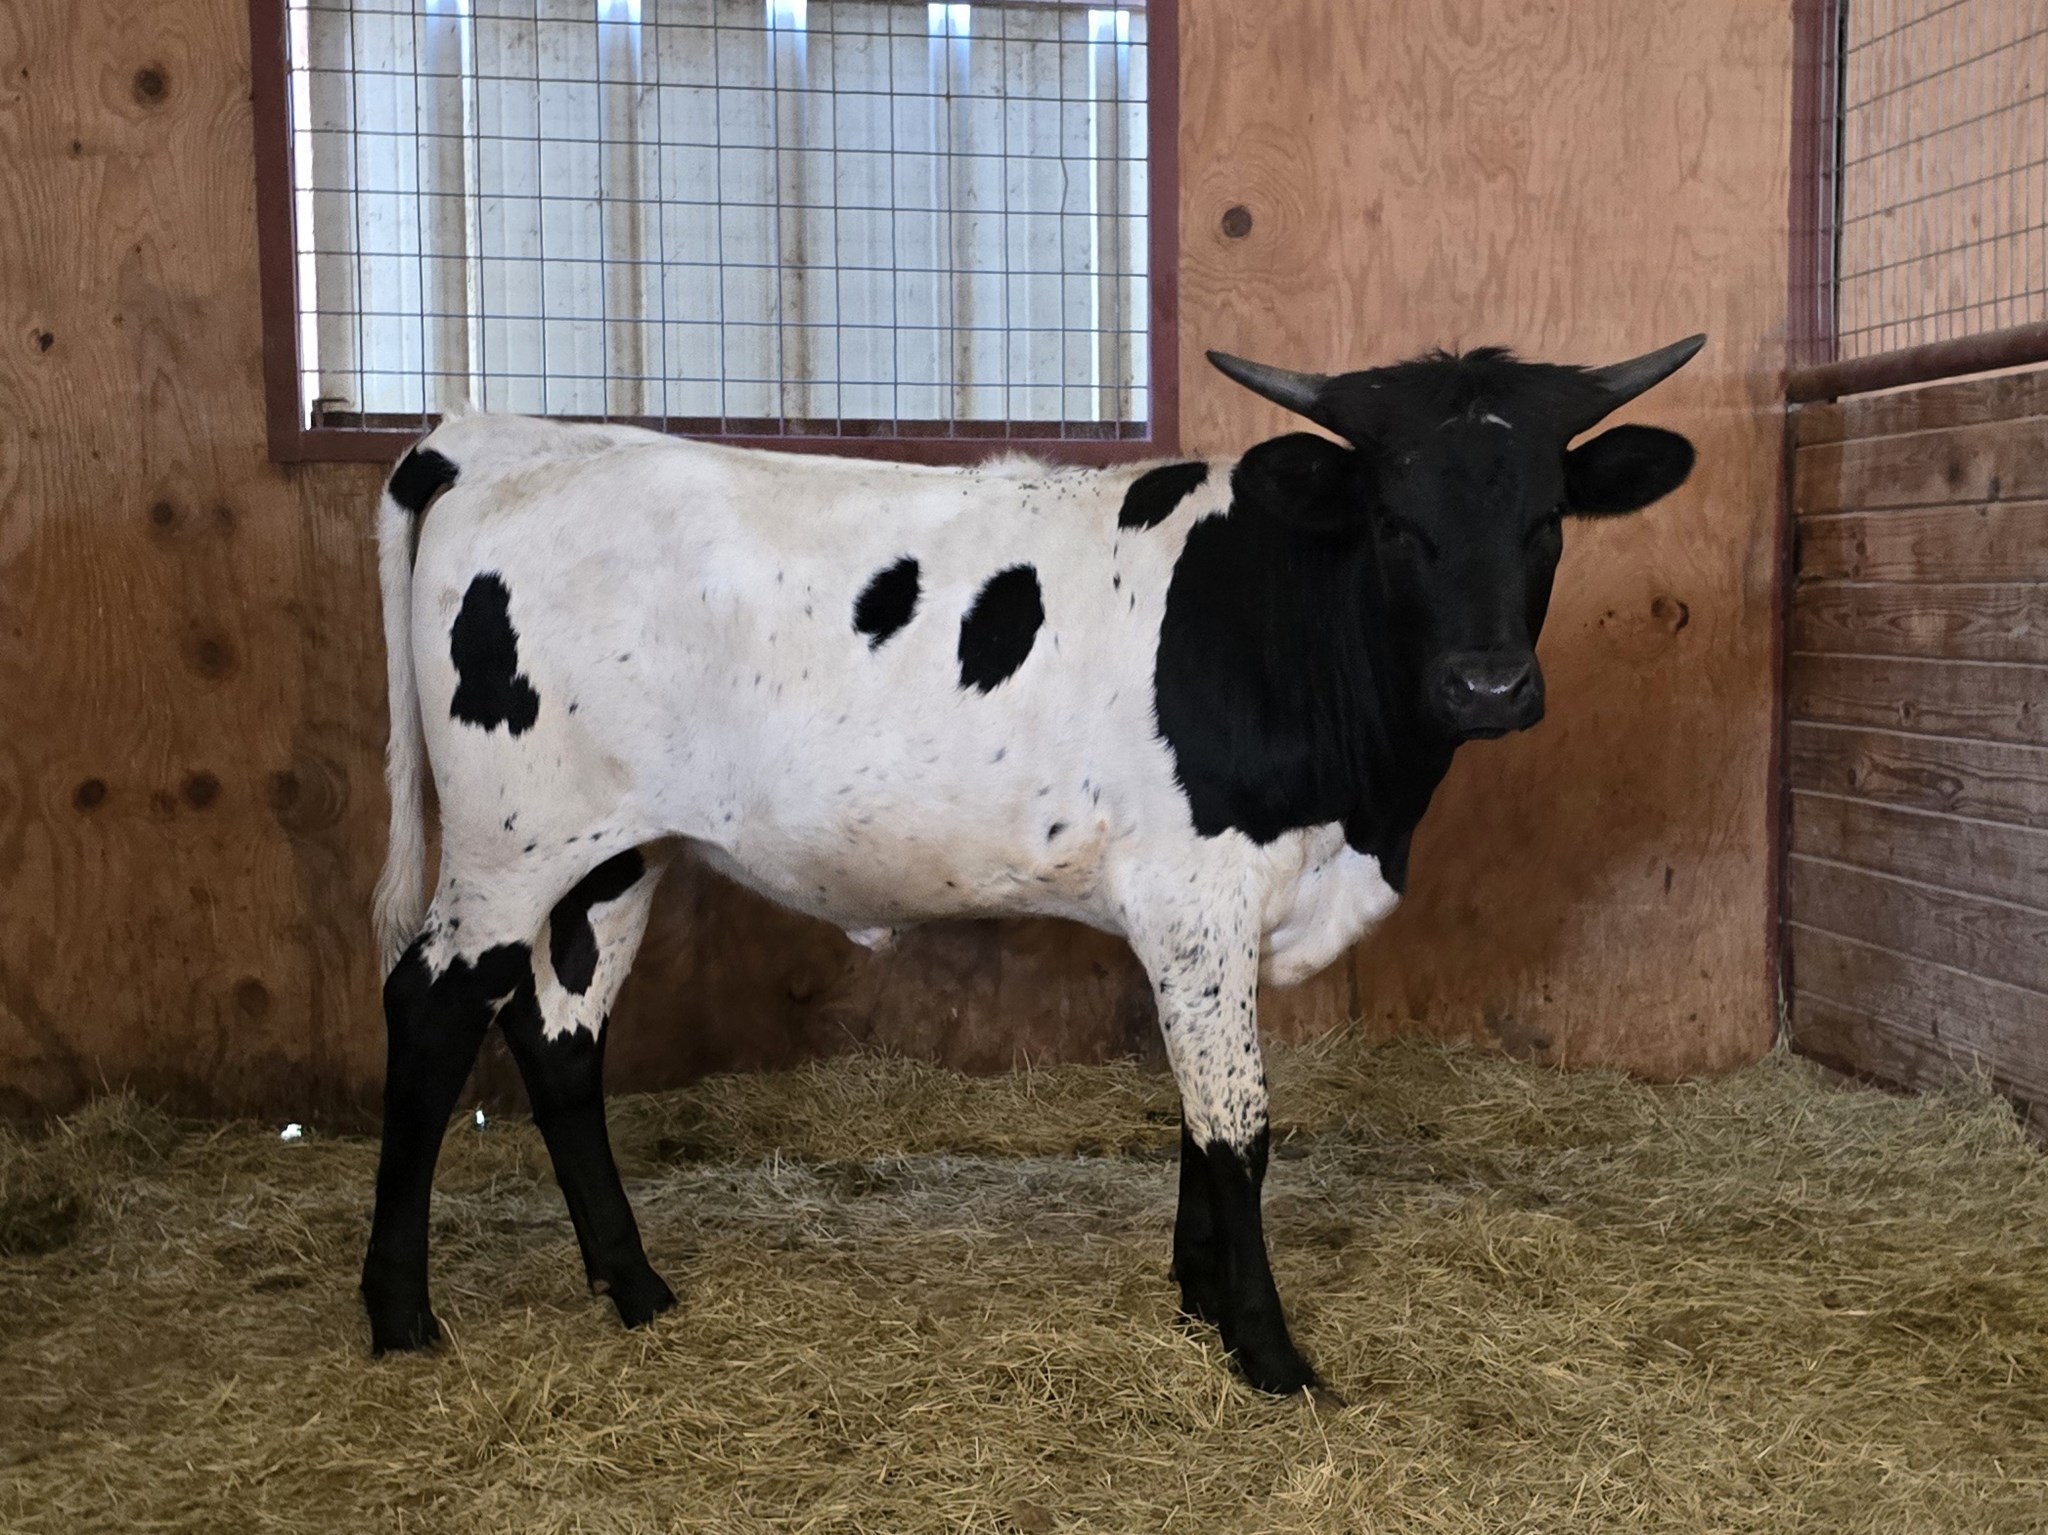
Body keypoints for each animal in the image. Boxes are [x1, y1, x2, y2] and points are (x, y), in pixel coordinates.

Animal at [362, 334, 1705, 1395]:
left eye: (1545, 517)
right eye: (1393, 519)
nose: (1486, 685)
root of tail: (487, 439)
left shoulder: (1207, 919)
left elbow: (1196, 1113)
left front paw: (1197, 1300)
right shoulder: (1195, 895)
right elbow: (1238, 1124)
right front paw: (1266, 1350)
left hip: (611, 852)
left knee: (558, 1037)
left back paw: (633, 1283)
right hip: (505, 843)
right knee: (429, 1009)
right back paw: (399, 1310)